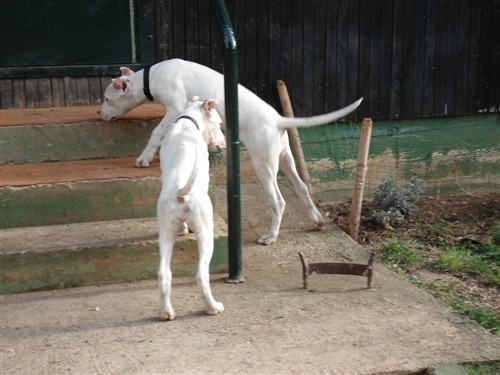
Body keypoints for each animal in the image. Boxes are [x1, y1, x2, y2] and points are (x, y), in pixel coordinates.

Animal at [98, 58, 364, 247]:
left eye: (107, 99)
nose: (99, 114)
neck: (151, 75)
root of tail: (278, 119)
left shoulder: (175, 107)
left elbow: (156, 132)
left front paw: (144, 158)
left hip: (264, 164)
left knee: (278, 201)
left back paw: (270, 236)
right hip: (285, 158)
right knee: (302, 187)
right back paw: (317, 220)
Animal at [157, 97, 226, 320]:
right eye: (219, 124)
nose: (223, 142)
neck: (187, 123)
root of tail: (180, 192)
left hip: (166, 233)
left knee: (164, 273)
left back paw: (166, 312)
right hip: (206, 232)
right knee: (202, 274)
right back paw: (213, 307)